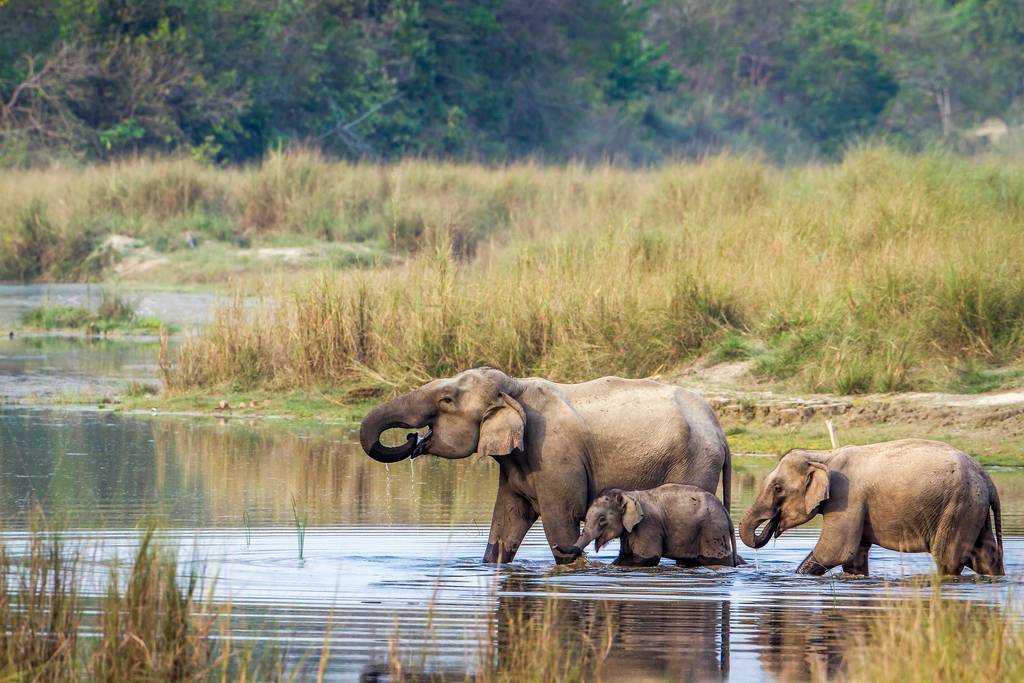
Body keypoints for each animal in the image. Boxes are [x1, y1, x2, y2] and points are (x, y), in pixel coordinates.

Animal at [358, 368, 729, 565]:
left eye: (446, 401)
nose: (412, 438)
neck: (515, 388)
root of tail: (720, 431)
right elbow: (506, 523)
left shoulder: (554, 456)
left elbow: (560, 521)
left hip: (694, 464)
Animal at [557, 483, 741, 569]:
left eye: (602, 519)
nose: (555, 545)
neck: (627, 494)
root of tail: (725, 511)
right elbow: (624, 557)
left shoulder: (648, 526)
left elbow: (646, 559)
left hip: (713, 531)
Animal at [741, 438, 1003, 577]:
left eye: (777, 488)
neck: (824, 455)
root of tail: (987, 479)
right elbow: (853, 559)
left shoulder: (847, 499)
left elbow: (834, 551)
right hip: (973, 508)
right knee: (985, 555)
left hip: (958, 507)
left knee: (948, 559)